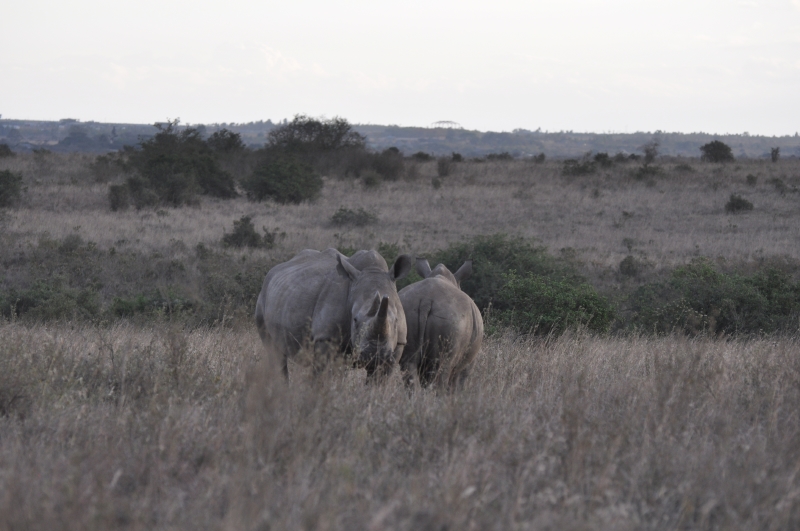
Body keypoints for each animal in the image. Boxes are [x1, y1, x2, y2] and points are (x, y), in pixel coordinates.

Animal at [255, 248, 413, 380]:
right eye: (355, 320)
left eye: (396, 321)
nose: (375, 354)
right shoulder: (326, 337)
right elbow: (329, 375)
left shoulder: (397, 345)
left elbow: (378, 380)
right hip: (263, 298)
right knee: (275, 353)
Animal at [399, 258, 484, 388]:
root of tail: (426, 300)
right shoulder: (468, 363)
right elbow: (460, 383)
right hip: (452, 319)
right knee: (443, 370)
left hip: (406, 311)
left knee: (409, 365)